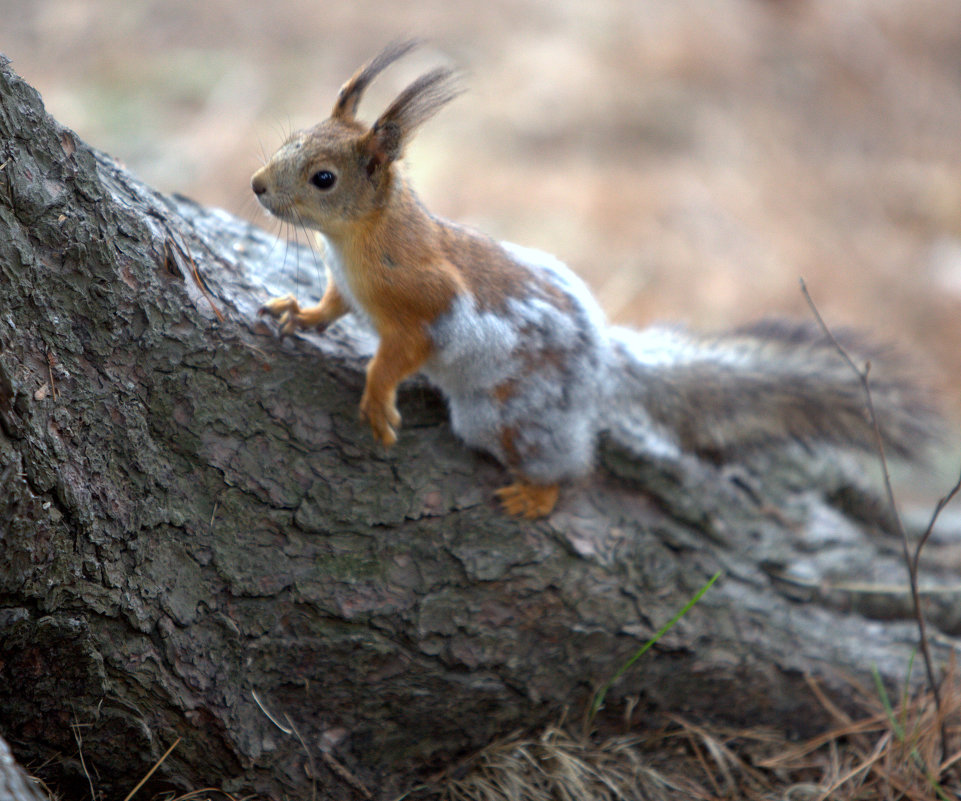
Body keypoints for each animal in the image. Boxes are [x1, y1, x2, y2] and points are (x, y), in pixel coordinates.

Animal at [251, 42, 932, 520]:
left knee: (569, 463)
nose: (256, 186)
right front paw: (299, 313)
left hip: (510, 415)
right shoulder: (347, 286)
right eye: (290, 139)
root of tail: (602, 361)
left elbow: (399, 353)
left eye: (323, 178)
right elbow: (332, 306)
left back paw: (539, 494)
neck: (357, 242)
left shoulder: (425, 300)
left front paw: (377, 397)